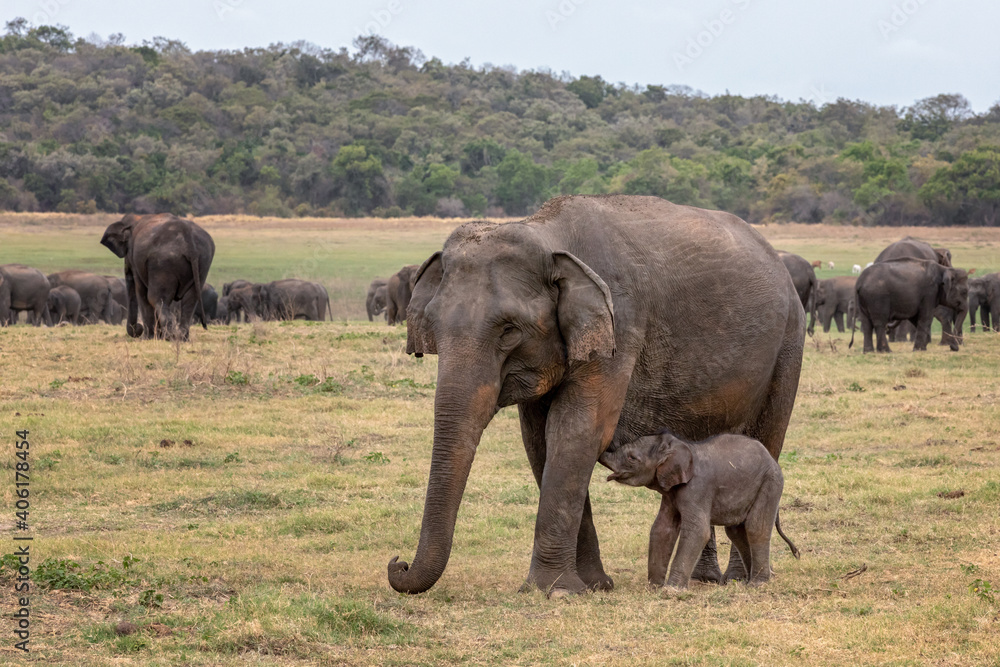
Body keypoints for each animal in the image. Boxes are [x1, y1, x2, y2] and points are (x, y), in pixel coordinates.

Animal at [596, 430, 800, 588]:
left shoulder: (697, 488)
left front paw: (671, 590)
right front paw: (654, 587)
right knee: (736, 531)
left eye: (632, 458)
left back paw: (758, 584)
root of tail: (772, 459)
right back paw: (748, 581)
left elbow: (698, 531)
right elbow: (662, 529)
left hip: (770, 483)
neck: (679, 446)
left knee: (756, 528)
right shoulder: (671, 493)